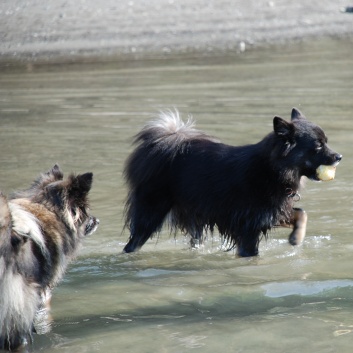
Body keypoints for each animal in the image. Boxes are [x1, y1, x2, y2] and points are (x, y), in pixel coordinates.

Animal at [124, 107, 340, 256]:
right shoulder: (249, 227)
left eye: (326, 142)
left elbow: (301, 213)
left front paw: (296, 238)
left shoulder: (273, 212)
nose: (340, 156)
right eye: (318, 146)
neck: (272, 169)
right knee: (132, 243)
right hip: (150, 214)